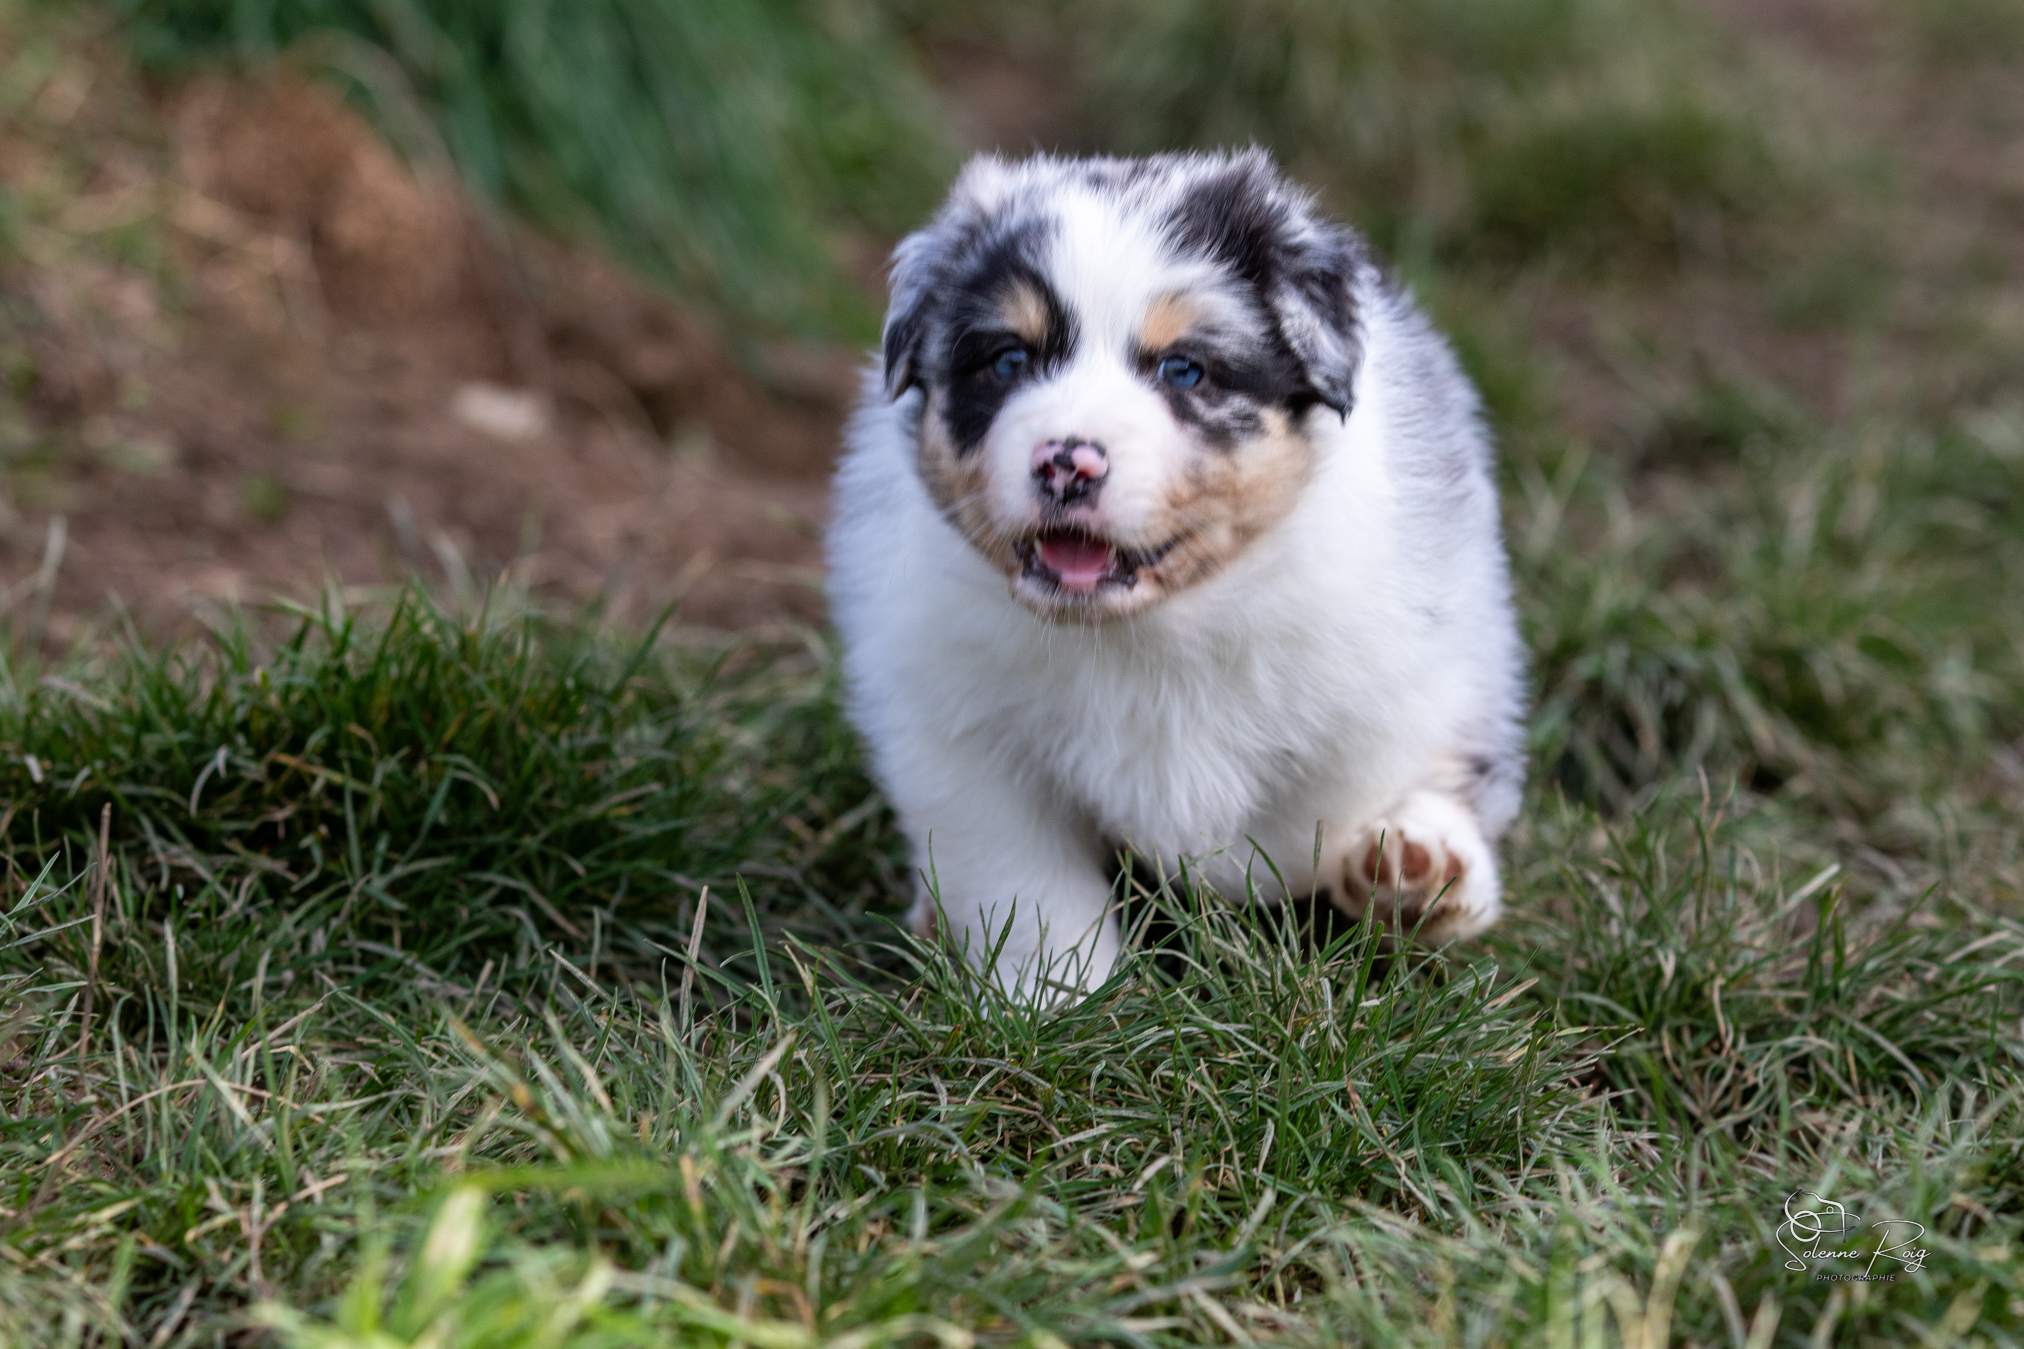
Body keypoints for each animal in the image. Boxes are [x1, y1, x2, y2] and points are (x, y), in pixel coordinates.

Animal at [827, 149, 1526, 999]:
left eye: (1184, 370)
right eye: (1009, 360)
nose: (1066, 462)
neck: (1144, 631)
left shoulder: (1407, 664)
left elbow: (1340, 797)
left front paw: (1402, 869)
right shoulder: (959, 734)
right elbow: (1025, 879)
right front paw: (1052, 997)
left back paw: (1418, 873)